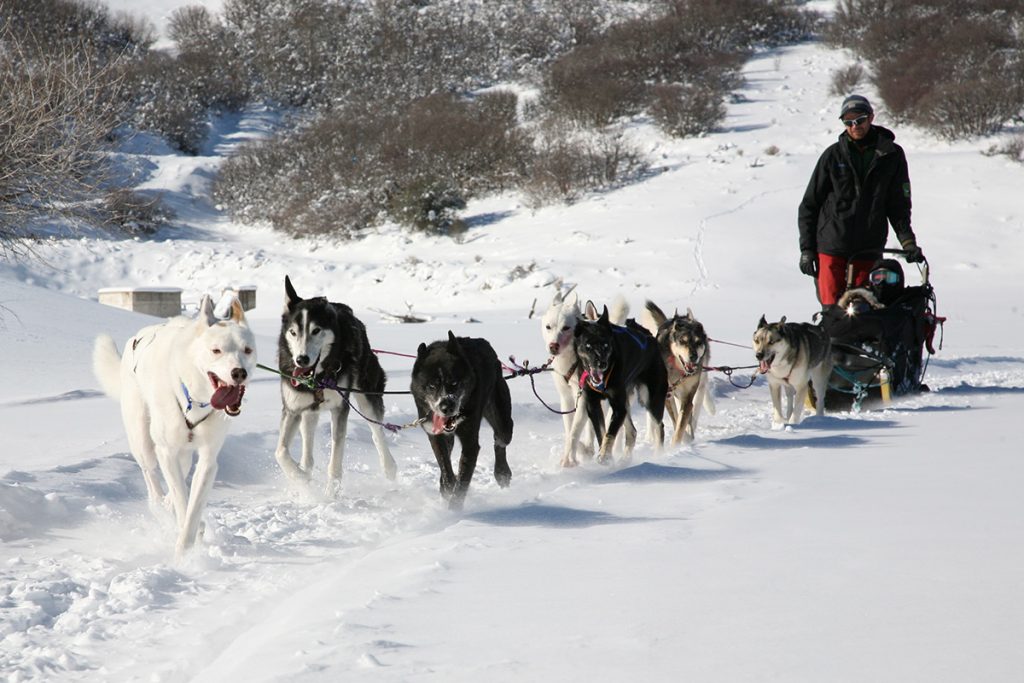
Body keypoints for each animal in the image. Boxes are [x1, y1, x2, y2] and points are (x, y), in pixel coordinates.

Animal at [411, 331, 516, 507]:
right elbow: (445, 465)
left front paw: (454, 508)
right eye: (431, 386)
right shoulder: (435, 435)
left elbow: (462, 481)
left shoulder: (470, 442)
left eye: (454, 382)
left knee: (500, 441)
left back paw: (502, 472)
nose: (446, 407)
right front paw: (447, 486)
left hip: (502, 423)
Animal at [565, 309, 667, 464]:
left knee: (659, 427)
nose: (601, 364)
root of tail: (651, 339)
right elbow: (601, 432)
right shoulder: (593, 404)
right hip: (627, 403)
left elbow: (610, 432)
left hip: (650, 399)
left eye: (606, 345)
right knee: (632, 432)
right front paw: (606, 456)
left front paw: (605, 455)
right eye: (588, 346)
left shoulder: (618, 406)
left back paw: (658, 456)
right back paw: (625, 459)